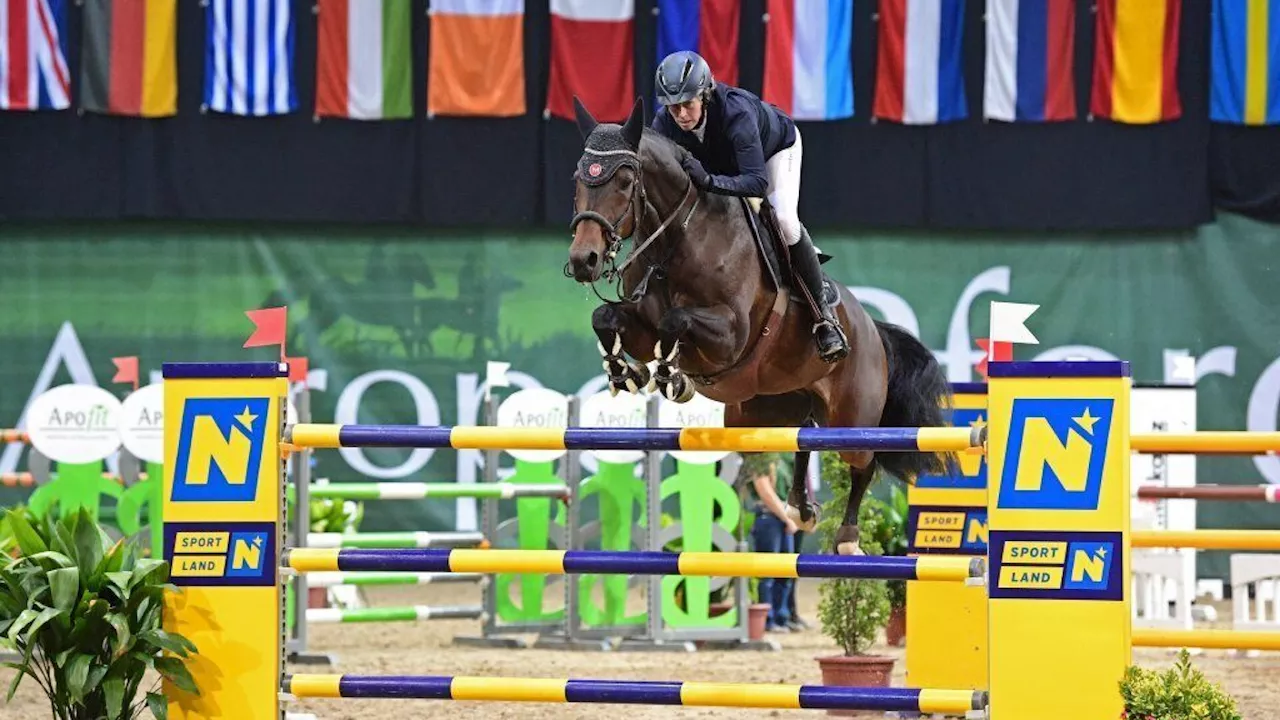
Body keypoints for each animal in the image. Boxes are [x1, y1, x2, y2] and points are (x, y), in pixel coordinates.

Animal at [565, 95, 957, 550]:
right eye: (578, 178)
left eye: (626, 180)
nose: (584, 260)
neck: (677, 240)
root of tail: (874, 328)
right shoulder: (641, 325)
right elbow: (606, 316)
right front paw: (625, 371)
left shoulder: (730, 335)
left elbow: (675, 322)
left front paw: (671, 377)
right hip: (764, 412)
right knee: (803, 437)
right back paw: (799, 507)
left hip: (853, 412)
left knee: (863, 461)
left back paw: (846, 536)